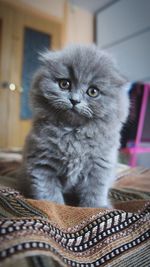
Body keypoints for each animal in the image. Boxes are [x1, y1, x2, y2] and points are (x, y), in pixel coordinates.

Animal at [18, 45, 129, 208]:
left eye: (93, 91)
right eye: (65, 84)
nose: (74, 100)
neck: (72, 133)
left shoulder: (99, 167)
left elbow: (94, 192)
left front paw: (96, 208)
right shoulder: (42, 164)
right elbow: (49, 194)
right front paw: (57, 207)